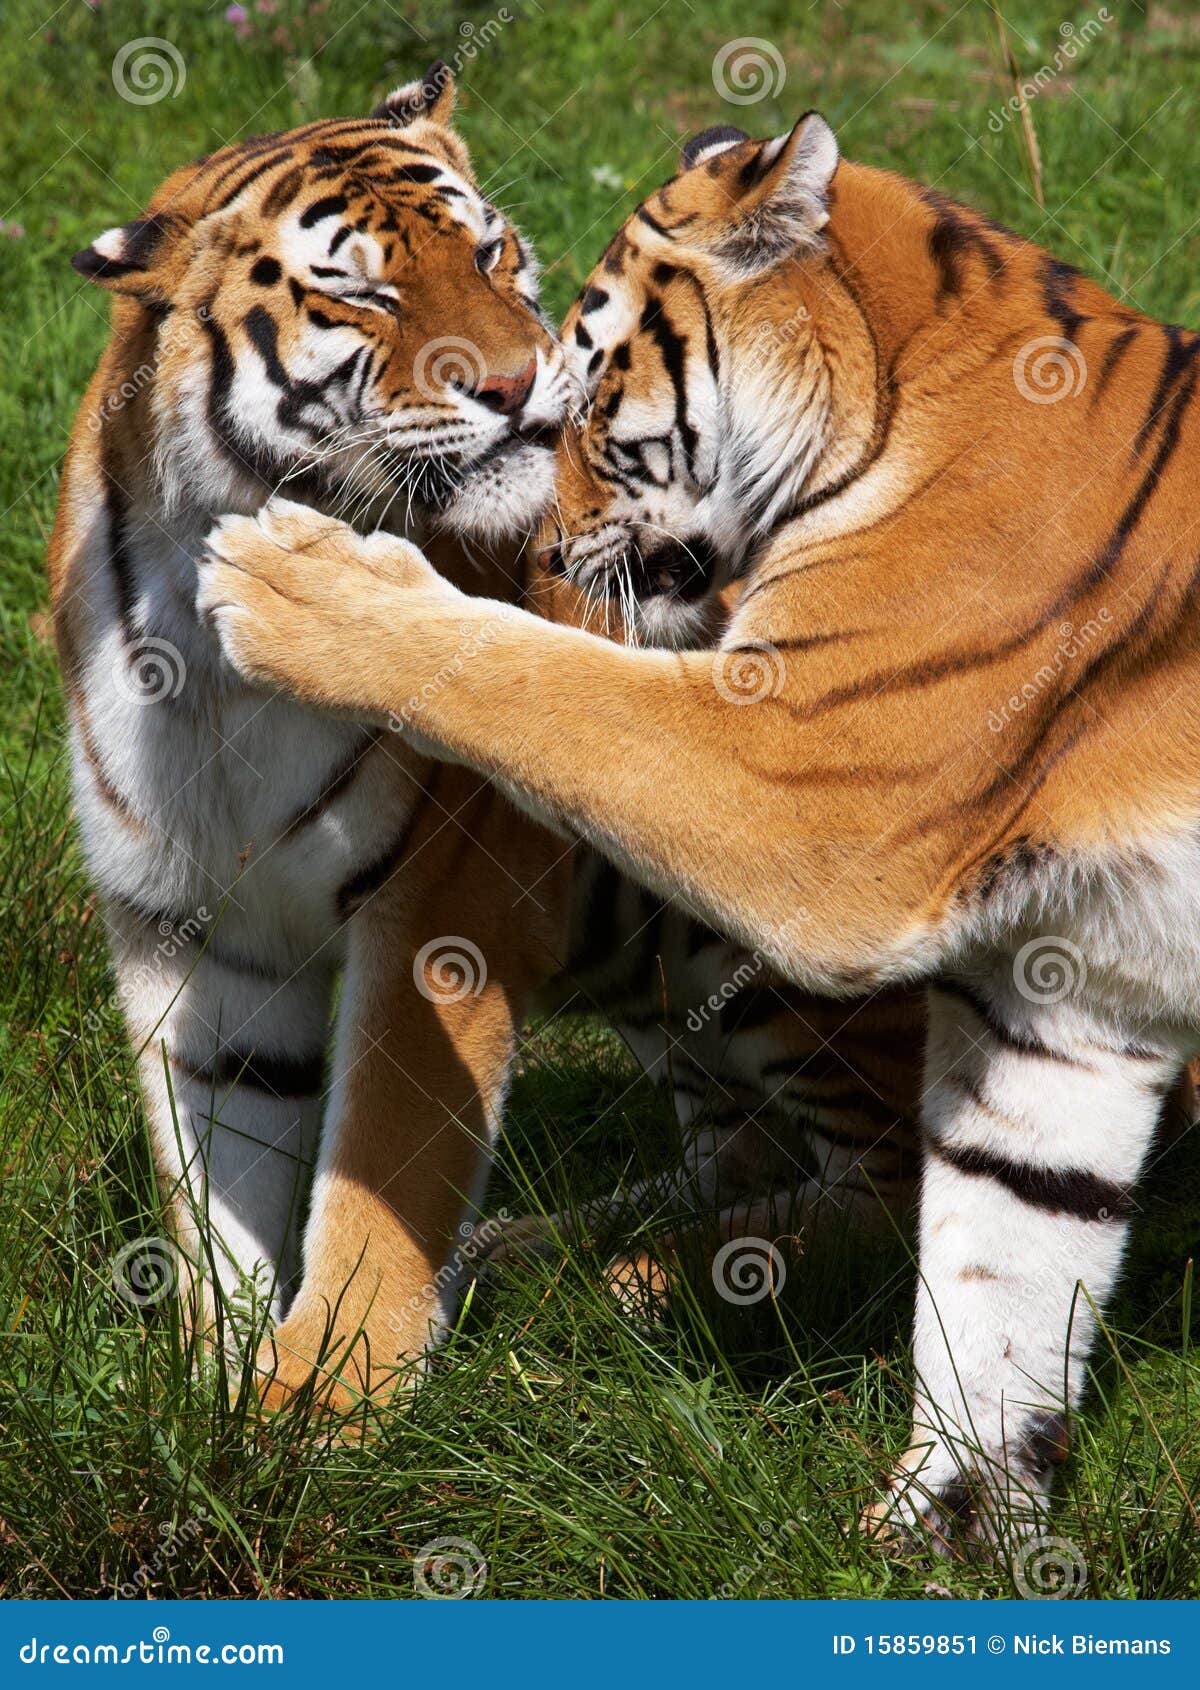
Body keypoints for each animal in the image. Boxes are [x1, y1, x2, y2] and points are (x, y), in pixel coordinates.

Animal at [199, 108, 1200, 1546]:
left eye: (585, 401)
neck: (901, 396)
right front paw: (938, 1538)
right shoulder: (1065, 992)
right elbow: (1007, 1269)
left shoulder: (806, 788)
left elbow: (534, 681)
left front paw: (295, 579)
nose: (539, 559)